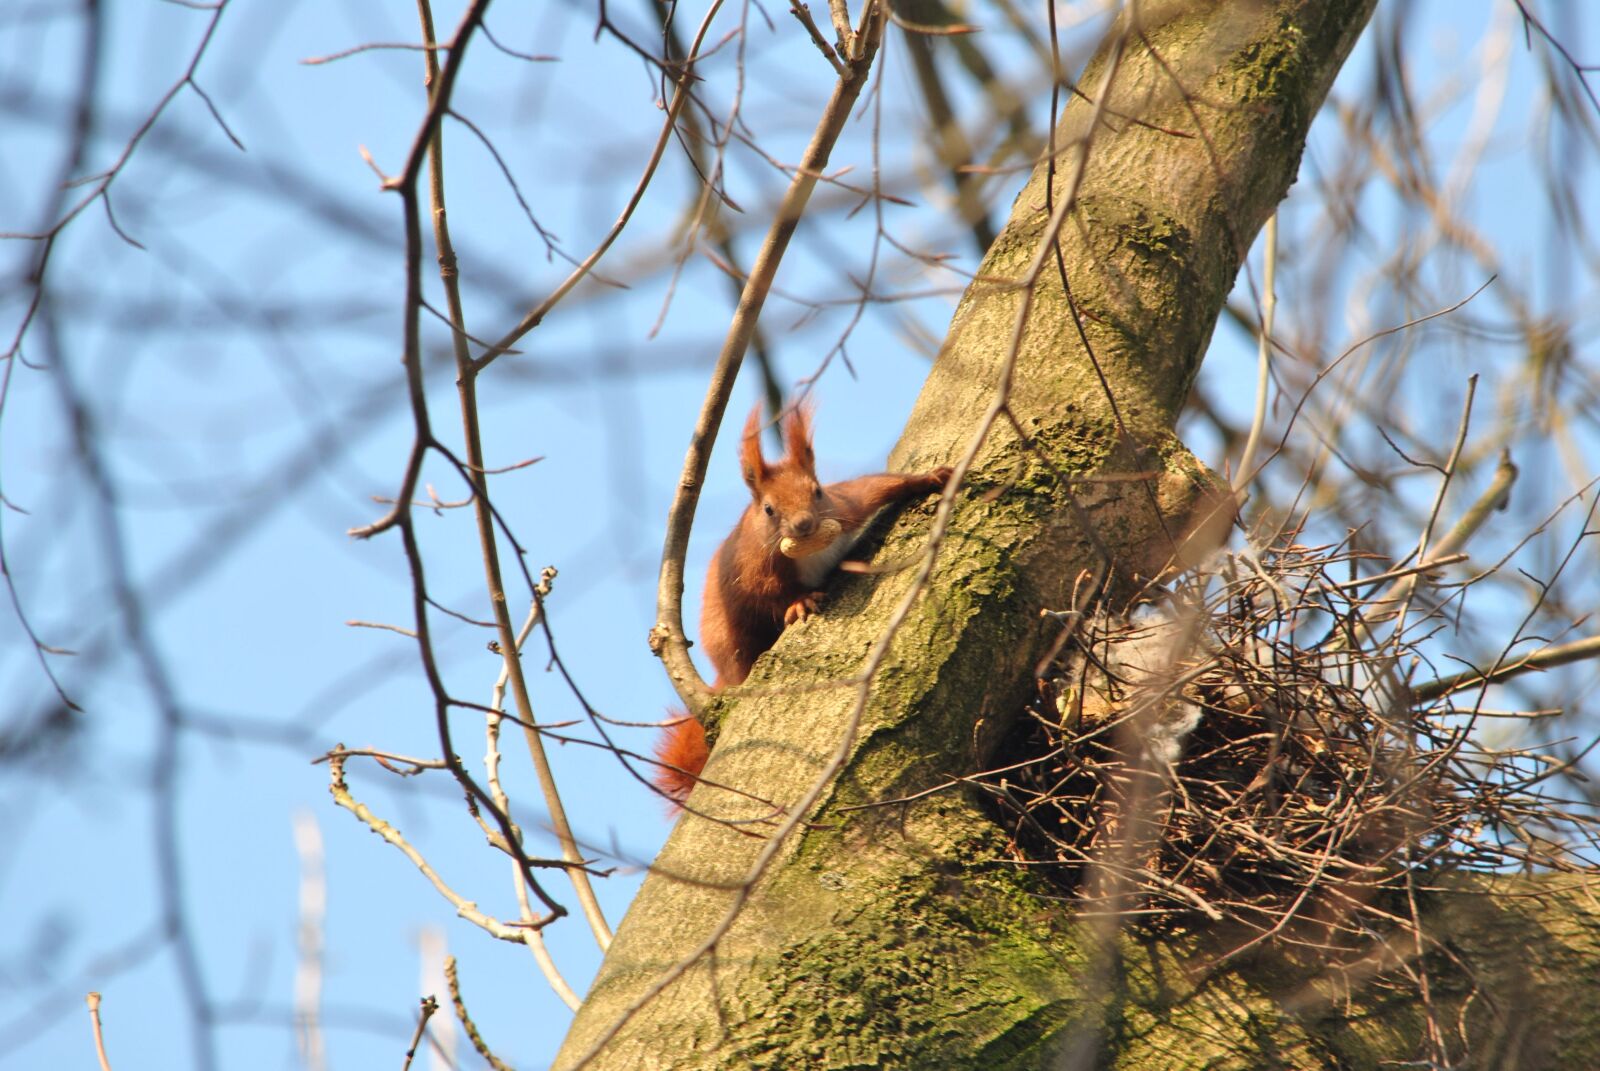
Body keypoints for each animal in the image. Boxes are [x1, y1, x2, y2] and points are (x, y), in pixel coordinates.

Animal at [654, 403, 953, 807]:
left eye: (818, 491)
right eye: (768, 509)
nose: (803, 524)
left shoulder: (849, 504)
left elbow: (877, 485)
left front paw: (929, 478)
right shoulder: (753, 569)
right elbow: (771, 594)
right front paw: (800, 603)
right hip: (731, 641)